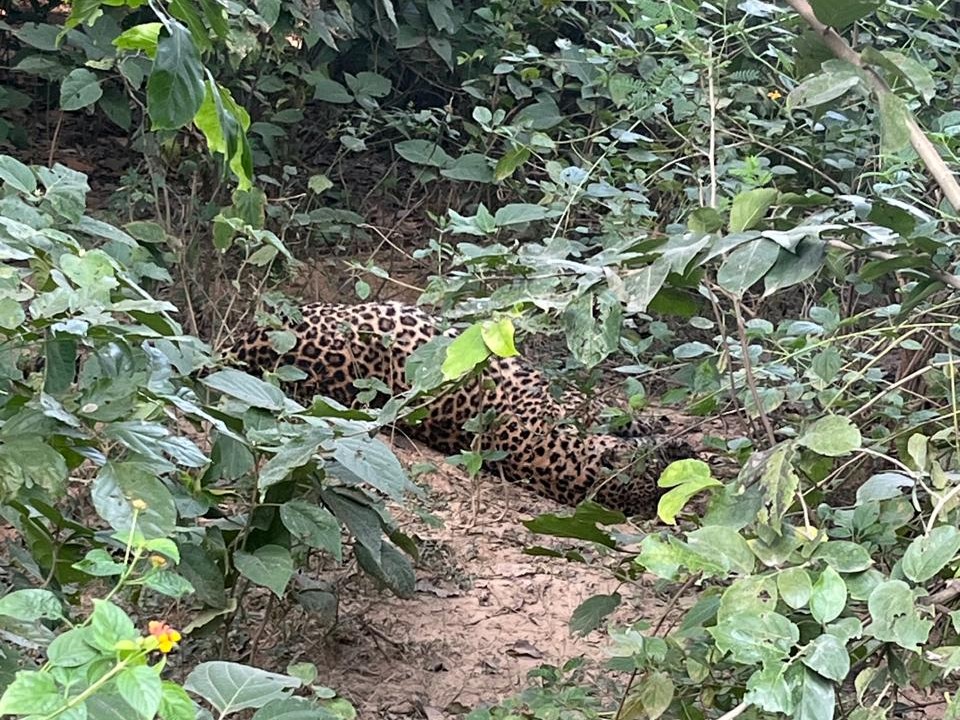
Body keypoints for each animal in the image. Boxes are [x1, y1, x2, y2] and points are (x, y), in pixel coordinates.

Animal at [228, 301, 694, 517]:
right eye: (656, 468)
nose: (674, 453)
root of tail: (244, 345)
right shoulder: (571, 406)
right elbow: (621, 415)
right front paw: (669, 434)